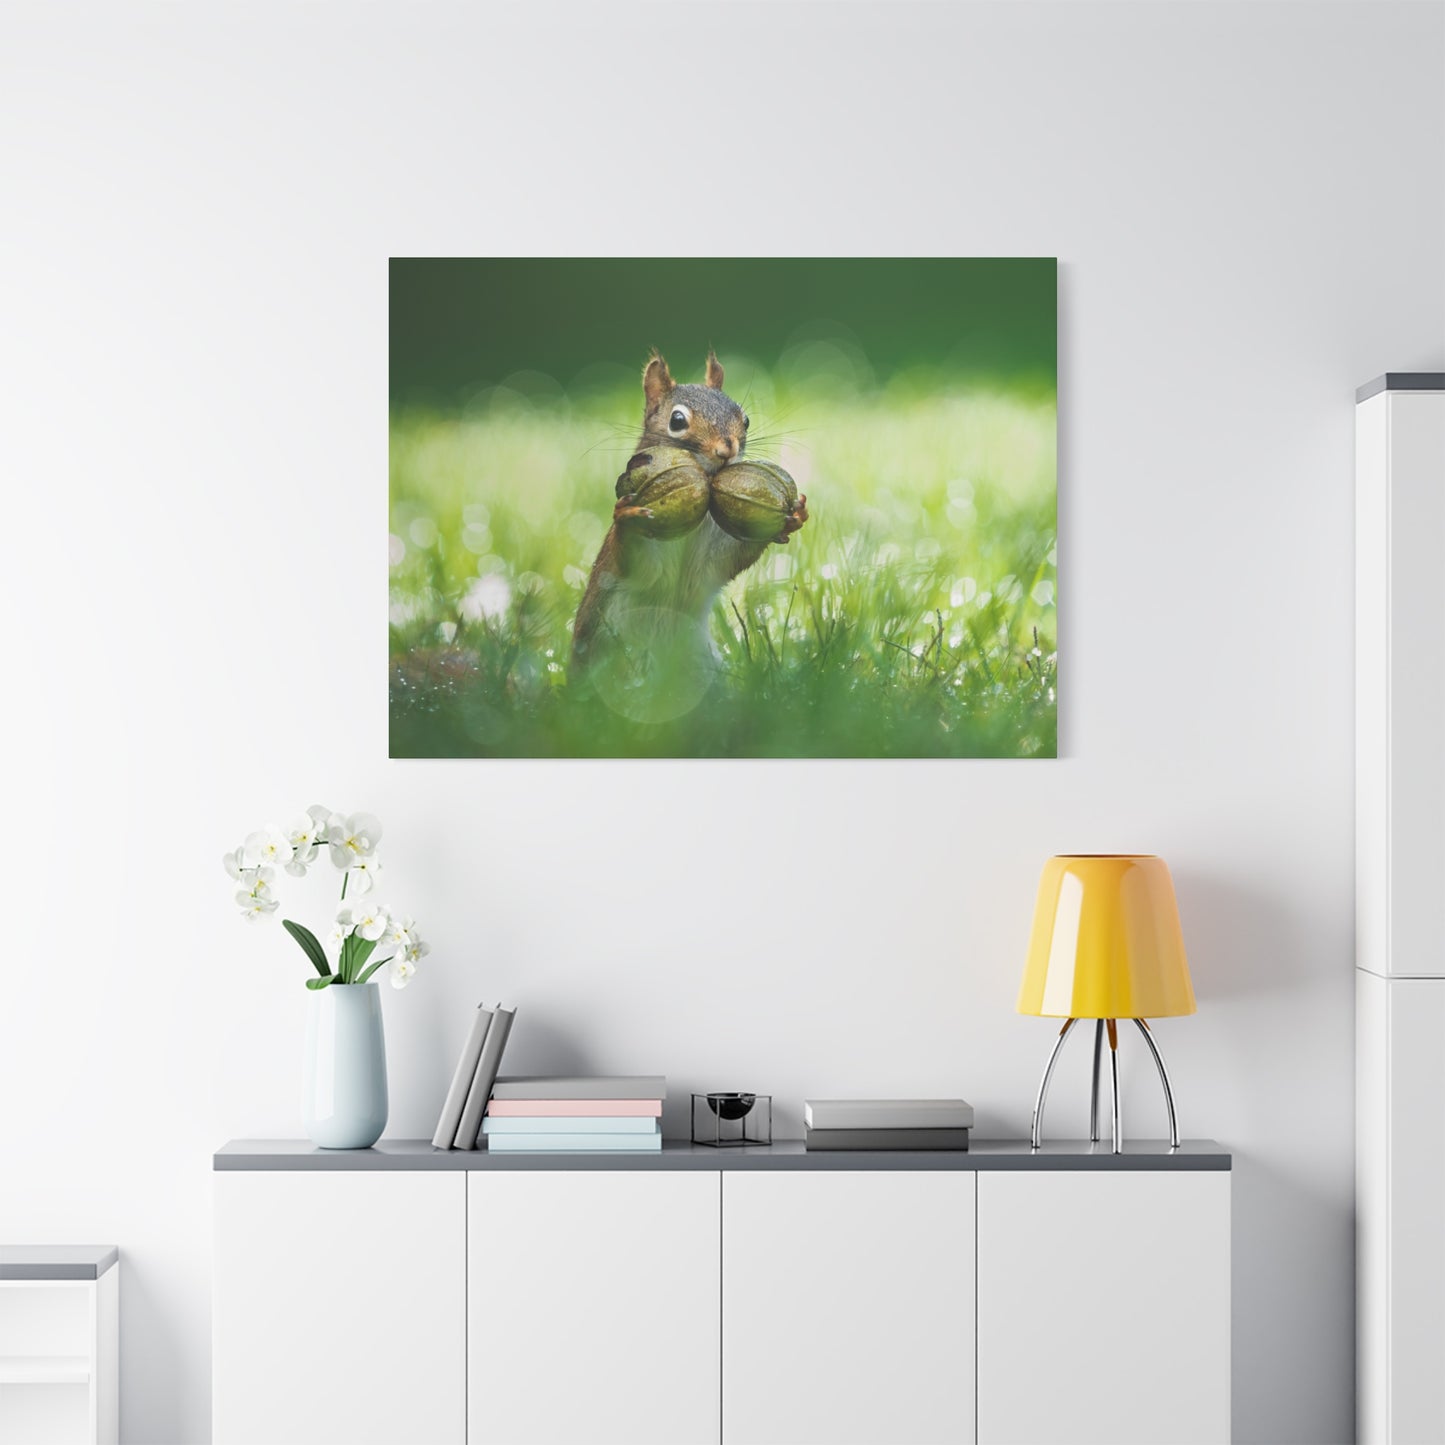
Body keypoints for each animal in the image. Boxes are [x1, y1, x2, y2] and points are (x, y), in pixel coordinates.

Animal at [571, 349, 807, 671]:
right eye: (677, 420)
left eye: (745, 420)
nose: (726, 450)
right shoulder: (639, 571)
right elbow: (635, 560)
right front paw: (627, 517)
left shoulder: (711, 565)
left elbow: (732, 558)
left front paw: (792, 517)